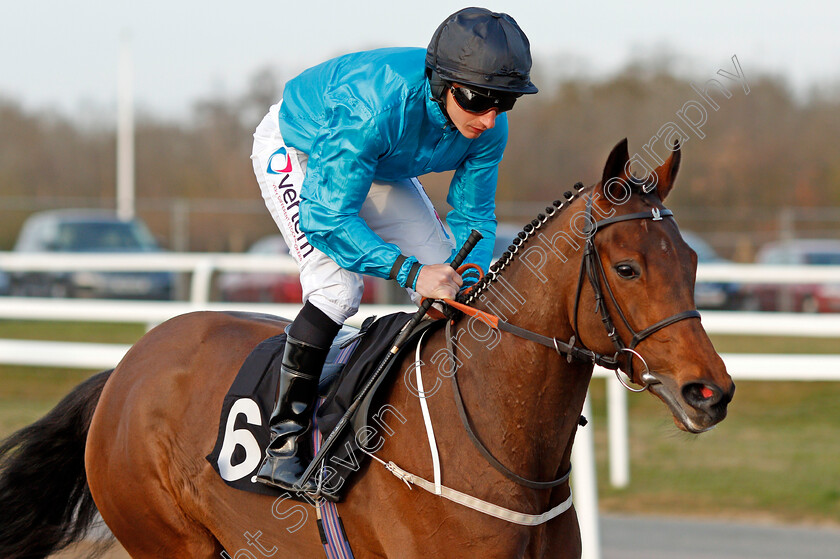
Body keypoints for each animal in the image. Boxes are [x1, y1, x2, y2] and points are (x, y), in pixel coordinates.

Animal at [0, 140, 732, 559]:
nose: (711, 391)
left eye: (693, 260)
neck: (488, 432)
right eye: (628, 267)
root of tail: (127, 367)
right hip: (166, 539)